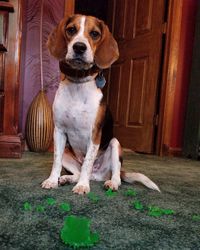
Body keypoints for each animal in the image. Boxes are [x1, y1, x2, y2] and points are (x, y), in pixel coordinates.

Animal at [41, 14, 160, 194]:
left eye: (95, 34)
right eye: (71, 30)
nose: (79, 47)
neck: (78, 84)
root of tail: (98, 174)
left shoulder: (94, 134)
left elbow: (88, 163)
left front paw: (82, 186)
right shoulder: (59, 131)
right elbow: (56, 161)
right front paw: (52, 180)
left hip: (115, 145)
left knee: (113, 174)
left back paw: (110, 183)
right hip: (69, 153)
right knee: (80, 171)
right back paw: (66, 178)